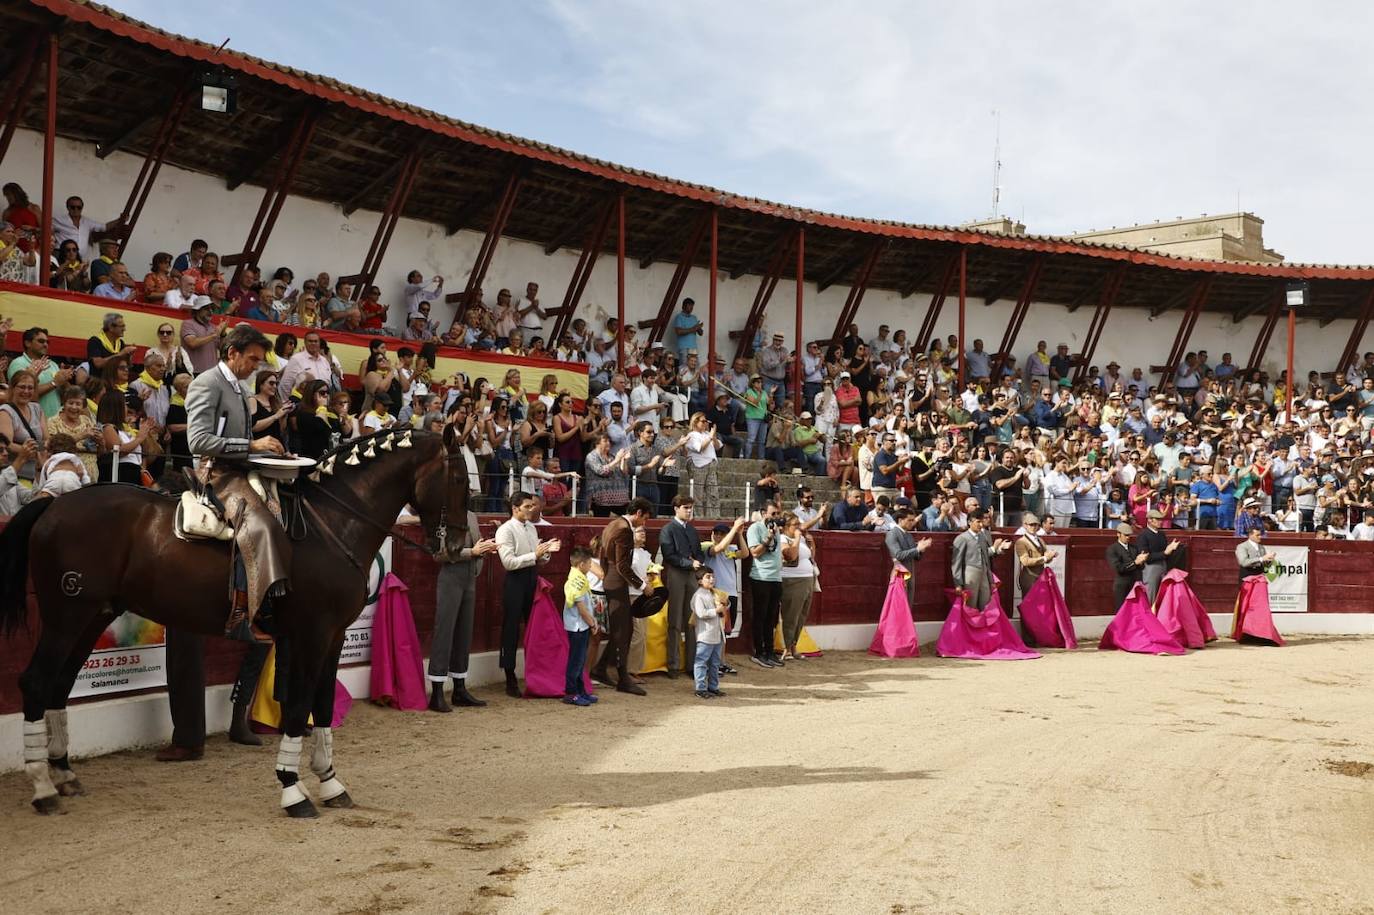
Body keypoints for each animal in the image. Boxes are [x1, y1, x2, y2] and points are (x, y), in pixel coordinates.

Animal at [0, 423, 467, 813]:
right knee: (36, 683)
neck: (333, 525)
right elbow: (299, 705)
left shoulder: (333, 636)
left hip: (92, 617)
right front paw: (293, 789)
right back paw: (43, 787)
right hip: (66, 617)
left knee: (59, 687)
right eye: (460, 479)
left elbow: (321, 705)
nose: (458, 547)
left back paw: (64, 774)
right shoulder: (311, 634)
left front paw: (331, 783)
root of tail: (53, 505)